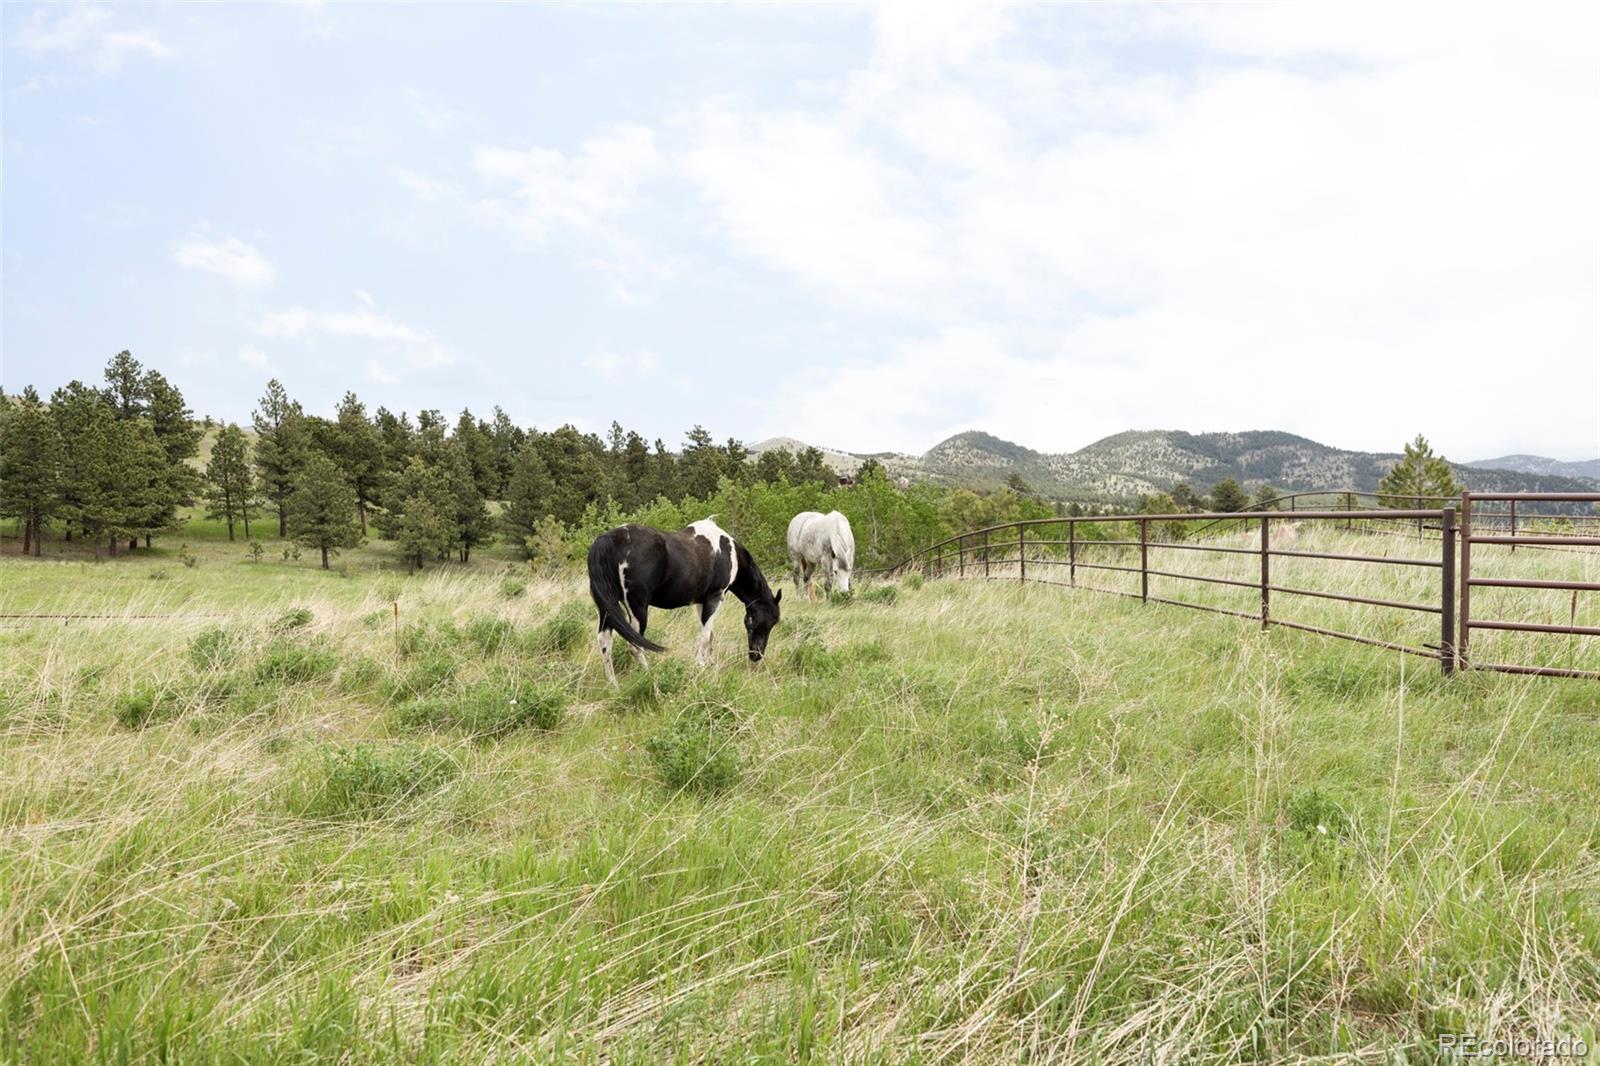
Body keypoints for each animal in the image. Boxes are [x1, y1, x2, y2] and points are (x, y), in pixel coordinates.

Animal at [592, 515, 784, 681]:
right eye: (770, 621)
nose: (756, 655)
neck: (728, 553)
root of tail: (611, 538)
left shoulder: (701, 602)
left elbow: (709, 634)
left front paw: (709, 664)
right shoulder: (715, 596)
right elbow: (705, 636)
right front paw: (701, 665)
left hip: (608, 608)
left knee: (605, 641)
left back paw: (613, 685)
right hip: (637, 608)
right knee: (635, 645)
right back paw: (650, 676)